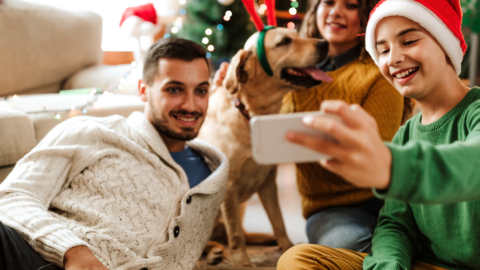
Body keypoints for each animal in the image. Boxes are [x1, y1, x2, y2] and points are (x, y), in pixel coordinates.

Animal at [199, 27, 330, 266]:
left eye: (297, 35)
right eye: (284, 41)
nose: (325, 43)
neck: (252, 114)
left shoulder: (268, 181)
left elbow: (278, 221)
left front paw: (286, 247)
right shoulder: (229, 187)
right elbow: (235, 235)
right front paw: (242, 262)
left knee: (239, 234)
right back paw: (214, 253)